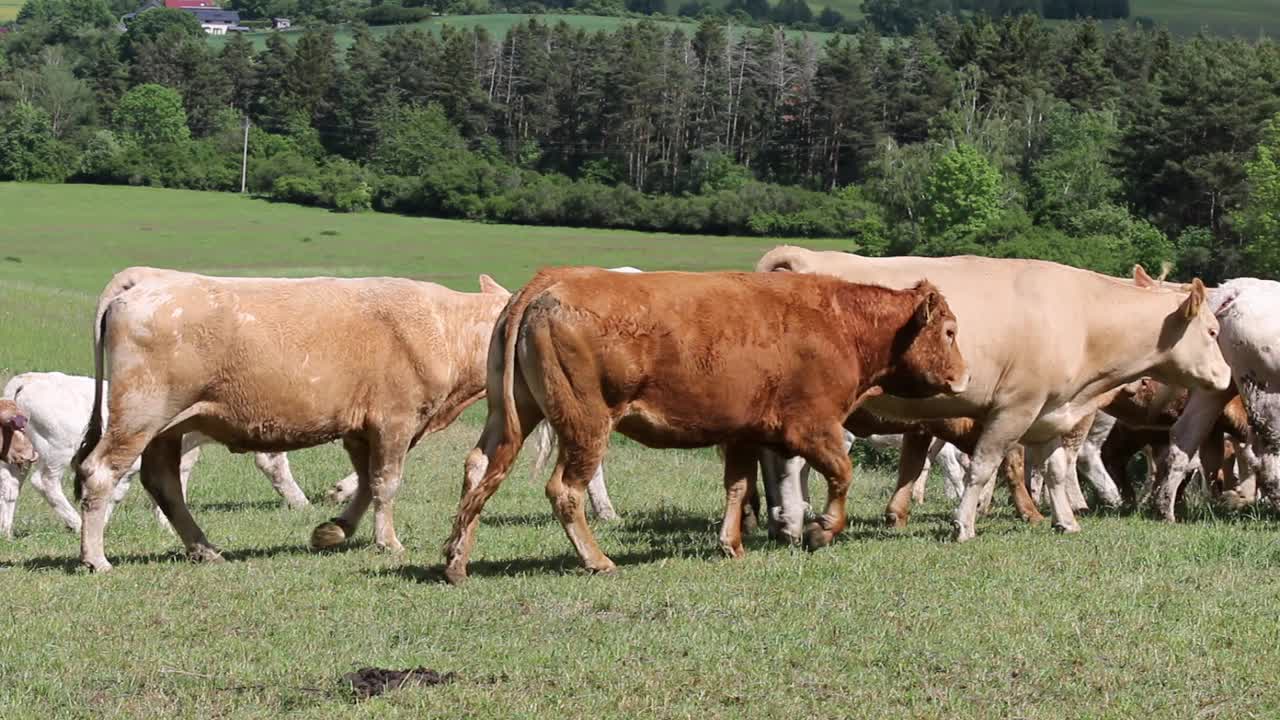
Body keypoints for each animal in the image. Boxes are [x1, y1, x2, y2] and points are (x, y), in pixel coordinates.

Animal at [0, 371, 308, 535]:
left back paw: (7, 532)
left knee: (10, 487)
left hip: (21, 454)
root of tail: (29, 379)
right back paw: (74, 522)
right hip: (56, 450)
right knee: (45, 483)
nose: (303, 505)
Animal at [73, 266, 509, 568]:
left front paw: (333, 530)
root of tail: (149, 275)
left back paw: (205, 549)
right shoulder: (395, 420)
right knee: (101, 471)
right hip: (141, 413)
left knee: (163, 482)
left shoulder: (359, 428)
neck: (445, 327)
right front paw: (388, 542)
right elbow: (386, 483)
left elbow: (366, 481)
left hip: (168, 426)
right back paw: (96, 559)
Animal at [442, 266, 967, 579]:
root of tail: (549, 282)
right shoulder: (813, 427)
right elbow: (842, 474)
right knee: (565, 490)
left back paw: (454, 560)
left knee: (478, 469)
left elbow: (737, 486)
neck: (840, 324)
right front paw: (821, 531)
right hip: (585, 422)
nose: (964, 376)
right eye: (949, 331)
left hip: (511, 412)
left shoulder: (743, 432)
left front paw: (731, 543)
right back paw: (598, 560)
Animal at [757, 245, 1228, 538]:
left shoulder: (1052, 411)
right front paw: (963, 524)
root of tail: (804, 256)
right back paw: (793, 520)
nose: (1226, 377)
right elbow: (983, 467)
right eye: (1212, 330)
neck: (1082, 318)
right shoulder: (1014, 408)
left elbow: (1055, 470)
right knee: (791, 464)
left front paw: (1064, 521)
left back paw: (778, 520)